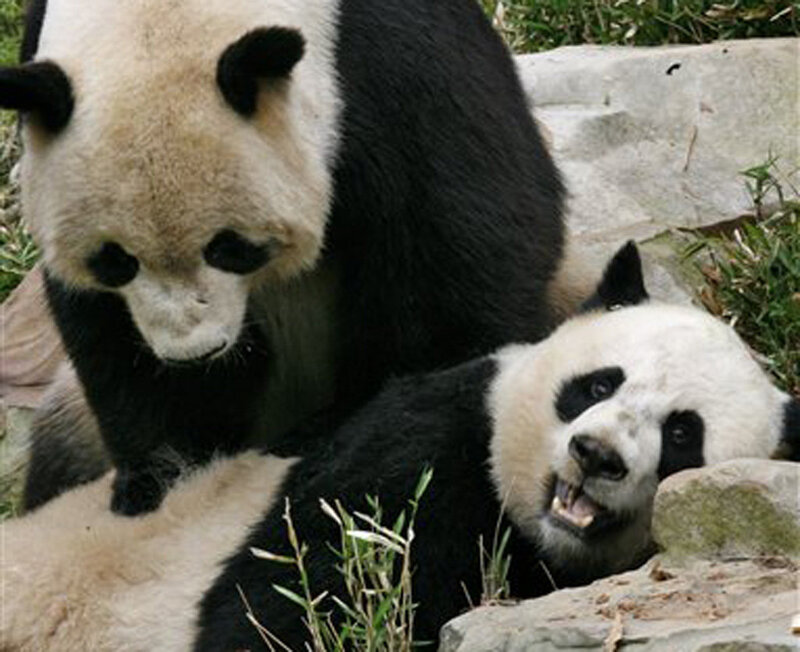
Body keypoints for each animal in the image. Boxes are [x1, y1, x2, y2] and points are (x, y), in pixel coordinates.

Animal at [0, 0, 565, 516]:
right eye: (116, 260)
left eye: (230, 247)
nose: (194, 355)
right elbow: (104, 330)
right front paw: (160, 474)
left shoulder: (393, 62)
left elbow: (458, 265)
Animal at [2, 243, 797, 651]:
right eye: (598, 384)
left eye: (682, 433)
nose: (596, 454)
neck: (530, 531)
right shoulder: (422, 442)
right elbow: (311, 588)